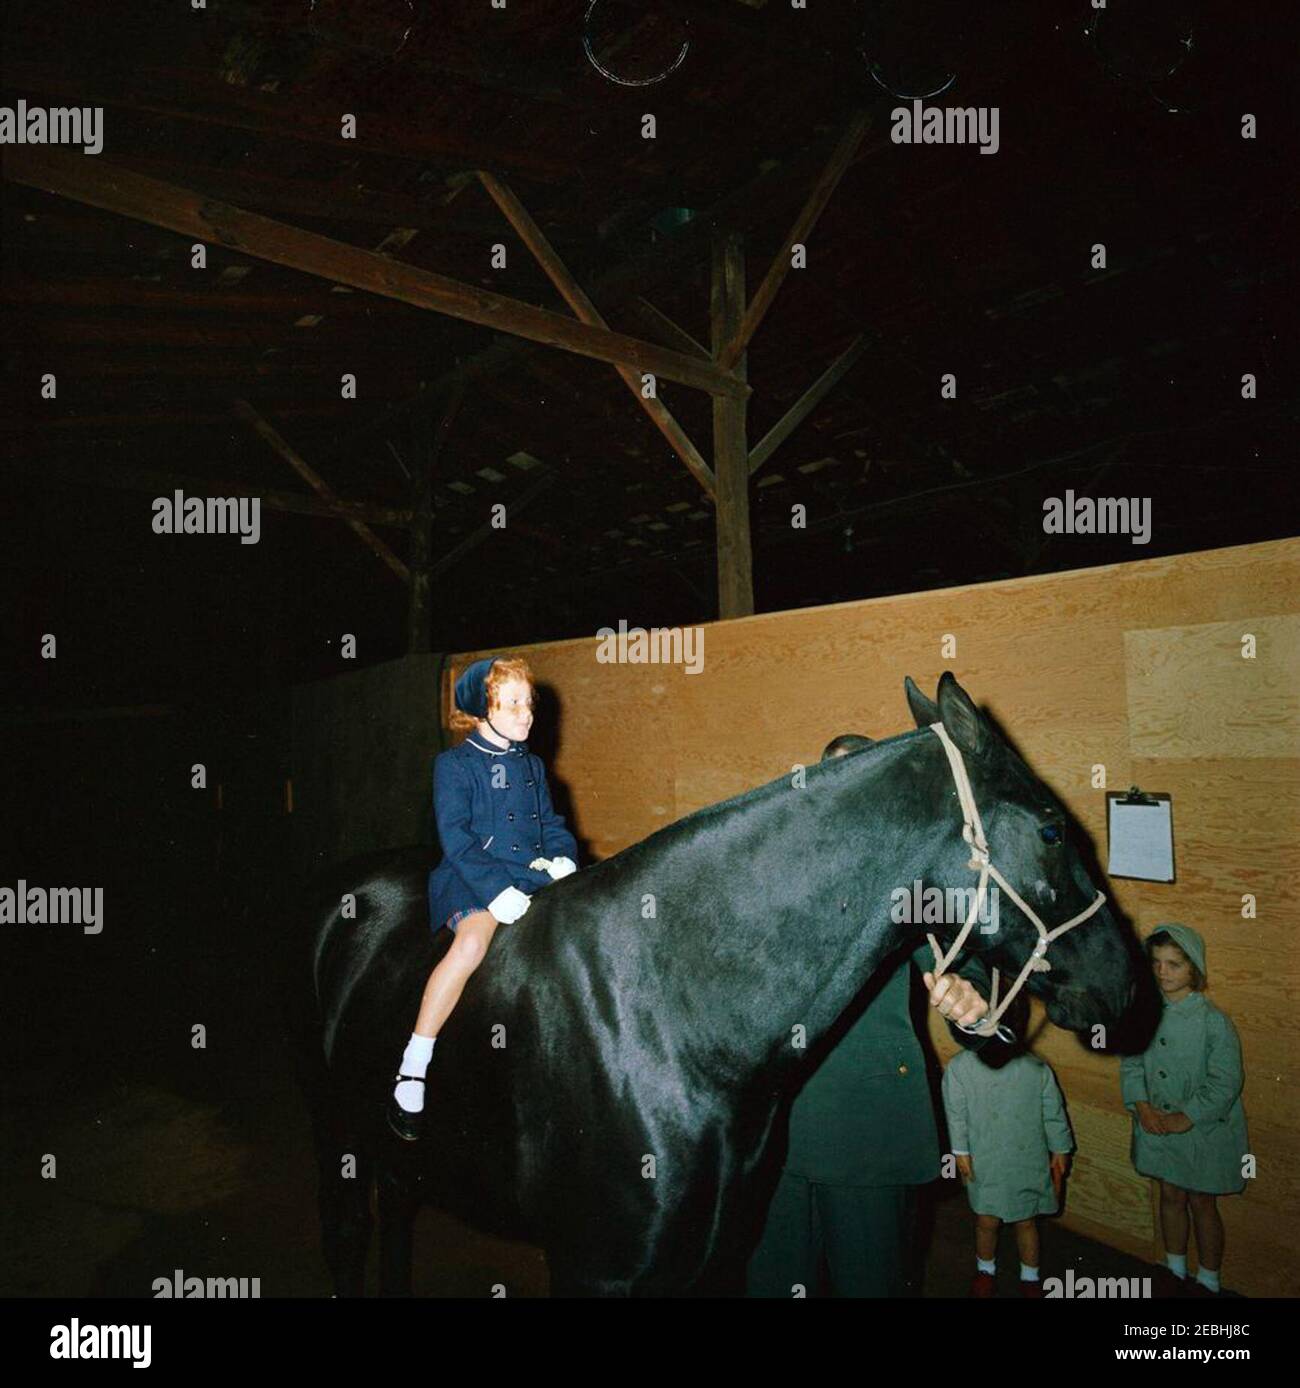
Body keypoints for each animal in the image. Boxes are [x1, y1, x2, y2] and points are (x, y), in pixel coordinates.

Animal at [299, 677, 1143, 1293]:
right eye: (1052, 829)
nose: (1124, 983)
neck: (676, 1019)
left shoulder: (708, 1259)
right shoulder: (597, 1271)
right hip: (339, 1145)